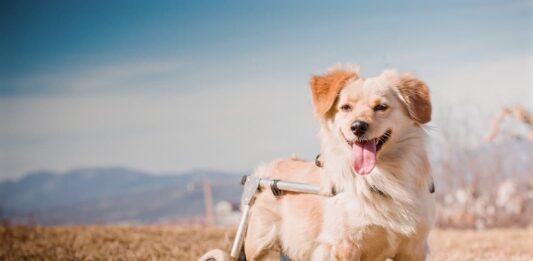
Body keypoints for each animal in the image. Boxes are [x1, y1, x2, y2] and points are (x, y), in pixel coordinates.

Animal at [206, 65, 434, 260]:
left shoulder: (413, 248)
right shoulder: (345, 247)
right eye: (345, 107)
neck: (381, 177)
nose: (357, 126)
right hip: (257, 242)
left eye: (381, 107)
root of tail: (265, 170)